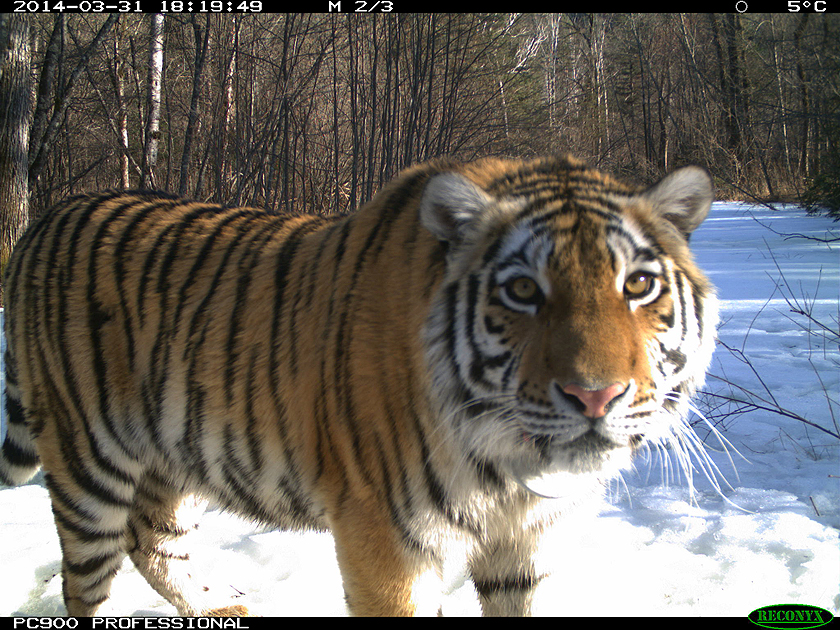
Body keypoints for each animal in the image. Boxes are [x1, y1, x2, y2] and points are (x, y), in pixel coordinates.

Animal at [0, 155, 717, 617]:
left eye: (638, 285)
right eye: (522, 291)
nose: (596, 396)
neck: (512, 465)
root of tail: (47, 216)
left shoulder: (527, 538)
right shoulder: (385, 536)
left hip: (171, 457)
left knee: (151, 539)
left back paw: (225, 605)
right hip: (88, 463)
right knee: (88, 579)